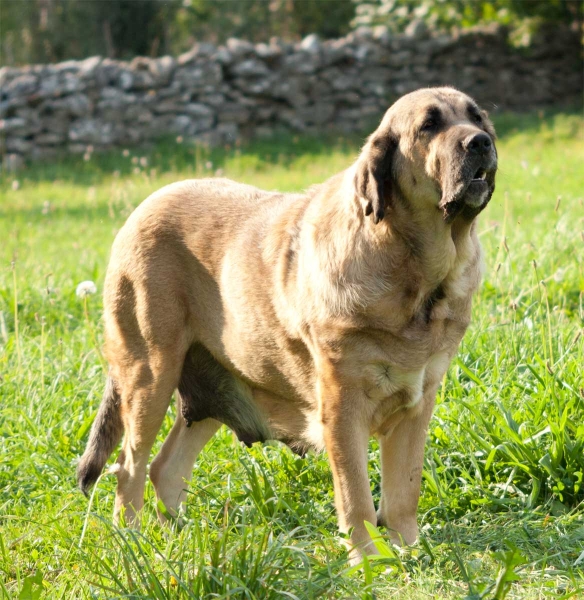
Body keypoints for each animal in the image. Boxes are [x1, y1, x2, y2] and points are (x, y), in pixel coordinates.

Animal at [77, 85, 498, 564]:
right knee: (130, 466)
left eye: (477, 118)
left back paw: (183, 540)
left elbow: (403, 493)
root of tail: (140, 209)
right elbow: (356, 495)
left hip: (211, 383)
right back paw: (133, 542)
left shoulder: (417, 405)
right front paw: (368, 560)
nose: (480, 143)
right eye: (429, 125)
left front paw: (407, 552)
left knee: (164, 467)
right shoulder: (343, 407)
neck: (420, 274)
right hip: (149, 373)